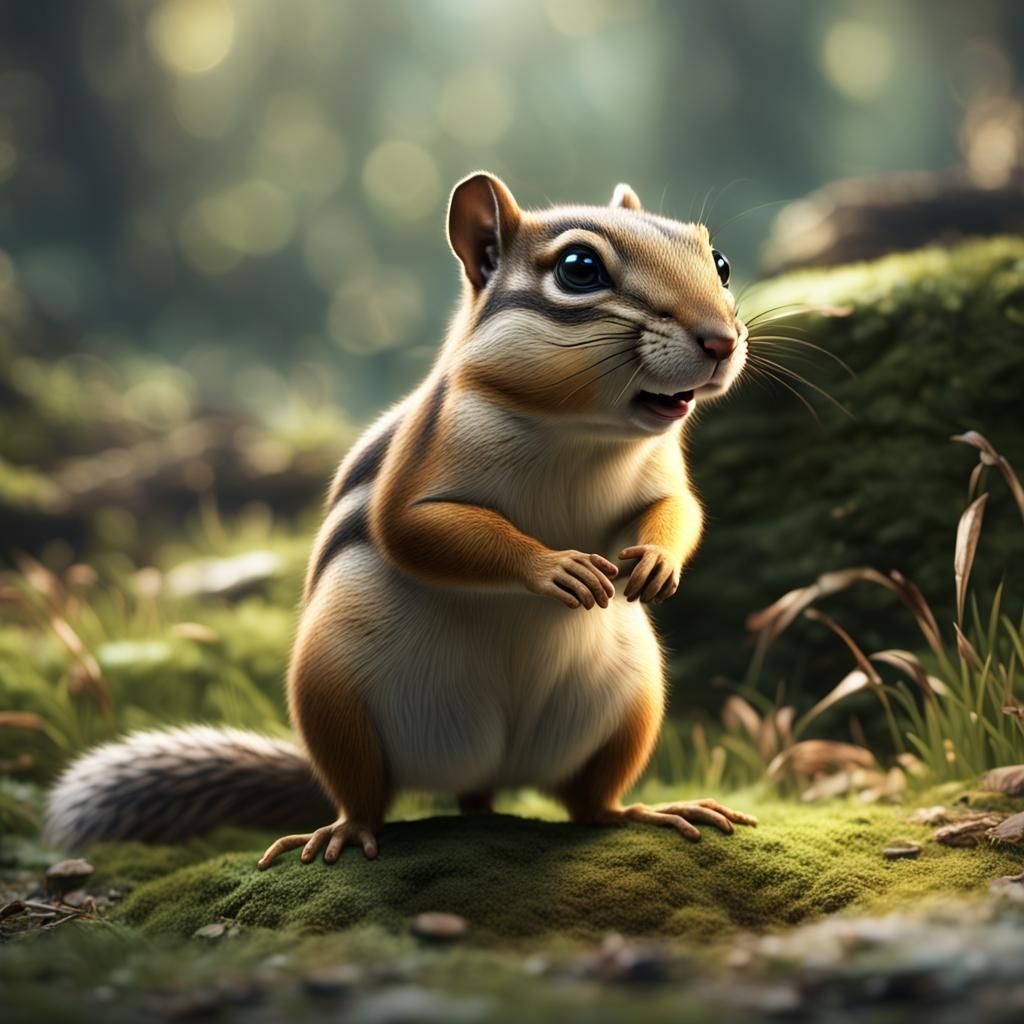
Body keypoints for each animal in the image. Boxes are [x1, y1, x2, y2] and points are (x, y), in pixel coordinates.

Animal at [44, 173, 757, 864]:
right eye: (579, 269)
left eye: (719, 262)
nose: (721, 340)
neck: (578, 431)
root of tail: (486, 771)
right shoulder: (422, 459)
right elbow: (415, 530)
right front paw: (555, 566)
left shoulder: (662, 469)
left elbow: (677, 509)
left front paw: (656, 561)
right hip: (331, 693)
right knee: (365, 793)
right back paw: (341, 832)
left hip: (633, 705)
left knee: (589, 804)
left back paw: (645, 811)